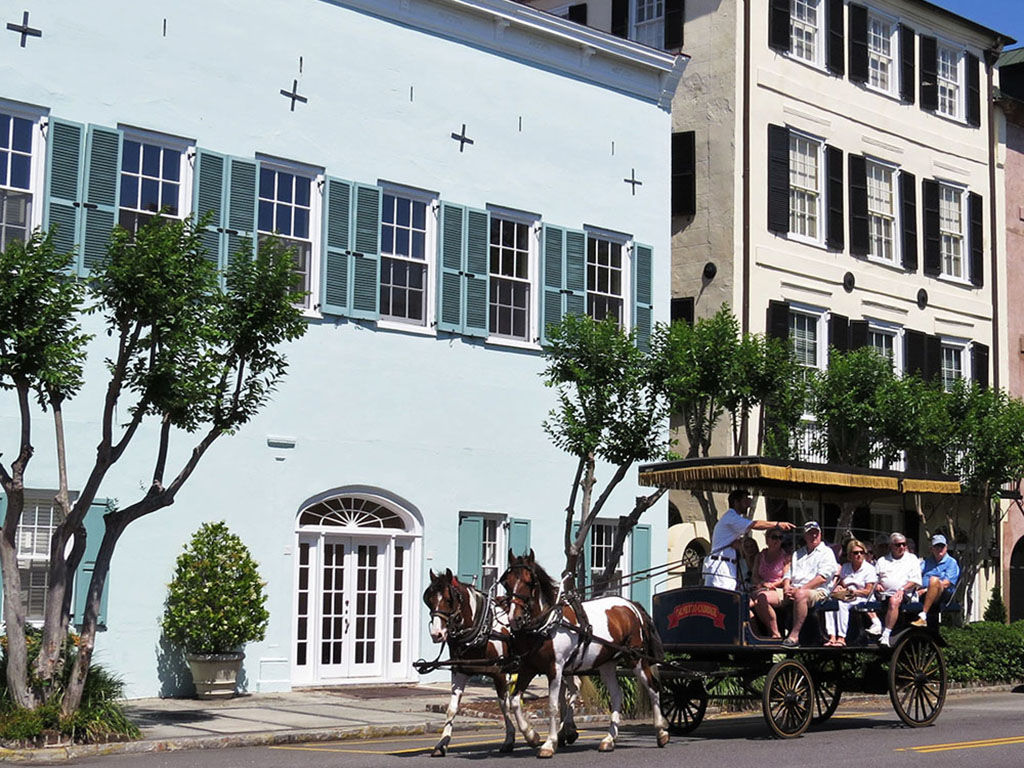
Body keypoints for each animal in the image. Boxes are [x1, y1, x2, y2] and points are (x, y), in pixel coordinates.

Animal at [421, 573, 536, 757]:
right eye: (429, 599)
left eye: (449, 599)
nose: (436, 634)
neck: (482, 629)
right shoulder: (460, 672)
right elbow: (452, 708)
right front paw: (442, 743)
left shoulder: (499, 673)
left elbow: (504, 705)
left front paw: (509, 739)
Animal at [499, 552, 667, 757]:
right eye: (506, 582)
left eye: (530, 581)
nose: (514, 618)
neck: (547, 624)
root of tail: (631, 605)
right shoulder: (527, 667)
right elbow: (514, 701)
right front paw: (531, 736)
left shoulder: (555, 669)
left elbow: (553, 706)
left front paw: (549, 743)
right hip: (607, 664)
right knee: (617, 695)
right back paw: (609, 739)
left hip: (636, 658)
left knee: (653, 688)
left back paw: (660, 732)